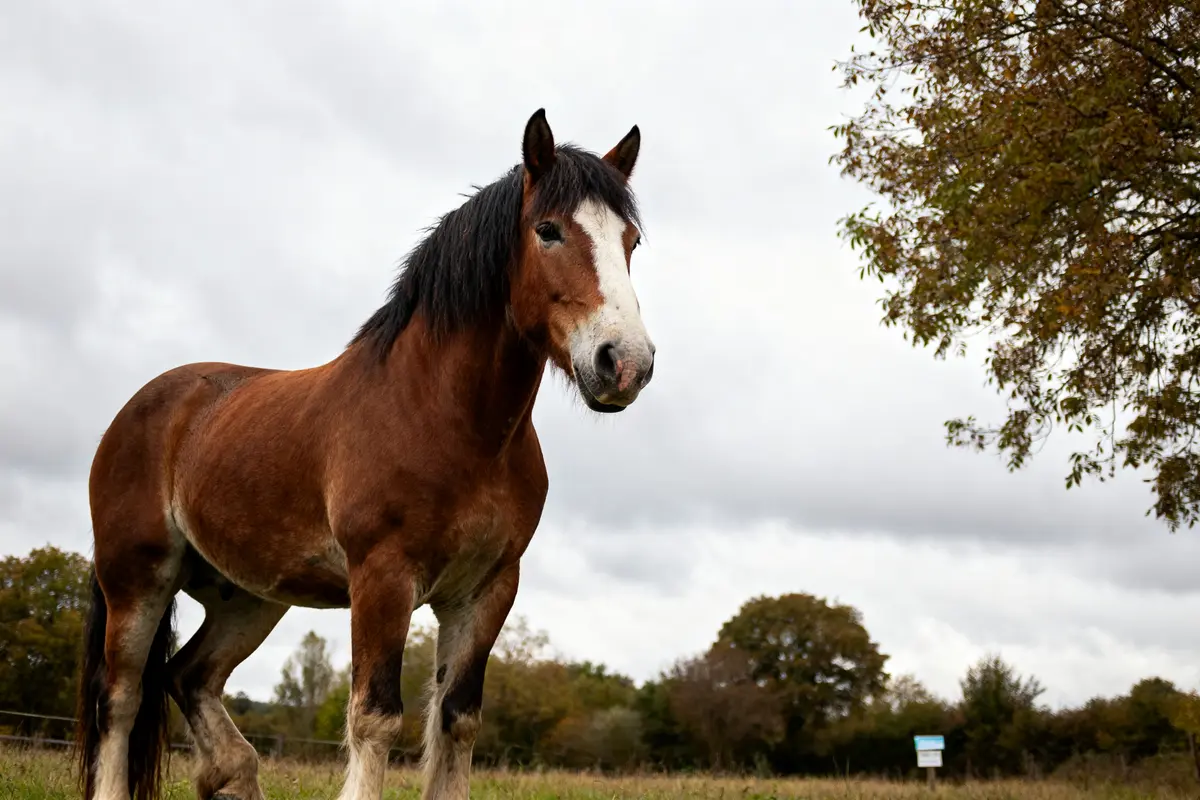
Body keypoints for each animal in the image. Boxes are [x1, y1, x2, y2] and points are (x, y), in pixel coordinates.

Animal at [74, 108, 656, 800]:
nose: (625, 363)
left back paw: (232, 772)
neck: (450, 421)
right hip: (137, 578)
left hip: (248, 597)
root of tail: (140, 408)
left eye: (631, 241)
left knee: (187, 676)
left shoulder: (488, 589)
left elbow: (458, 721)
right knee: (122, 697)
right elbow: (375, 717)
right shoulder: (382, 576)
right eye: (548, 231)